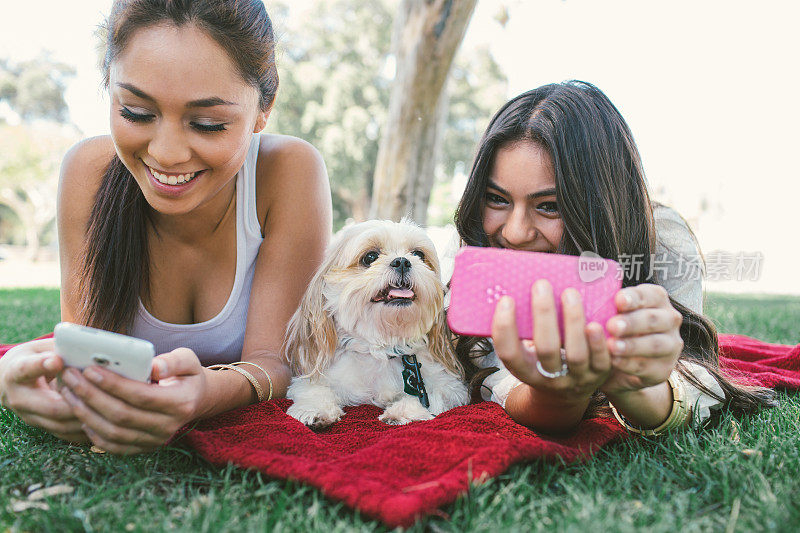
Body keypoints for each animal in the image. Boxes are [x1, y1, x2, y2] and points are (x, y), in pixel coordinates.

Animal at [284, 218, 468, 426]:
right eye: (370, 257)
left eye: (418, 254)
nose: (402, 261)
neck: (383, 347)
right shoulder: (315, 380)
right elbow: (314, 389)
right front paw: (314, 409)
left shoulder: (451, 387)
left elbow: (429, 395)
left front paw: (402, 411)